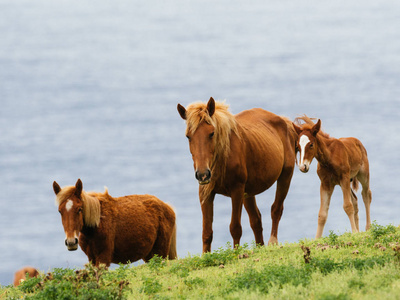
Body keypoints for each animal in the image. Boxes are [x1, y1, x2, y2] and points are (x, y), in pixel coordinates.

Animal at [176, 97, 296, 252]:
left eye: (211, 133)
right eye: (188, 136)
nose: (203, 174)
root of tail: (284, 121)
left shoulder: (237, 190)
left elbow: (235, 228)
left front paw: (236, 253)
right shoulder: (205, 192)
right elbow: (207, 231)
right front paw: (206, 255)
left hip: (285, 176)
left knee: (276, 209)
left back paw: (273, 242)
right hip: (249, 192)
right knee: (256, 220)